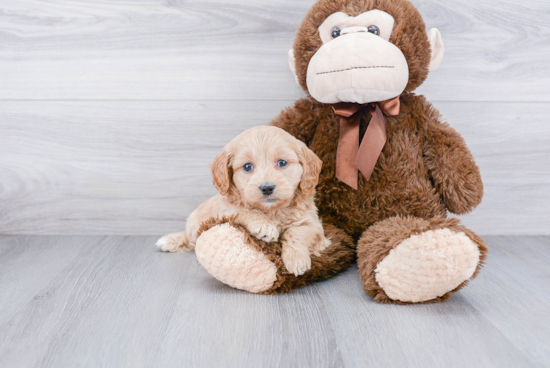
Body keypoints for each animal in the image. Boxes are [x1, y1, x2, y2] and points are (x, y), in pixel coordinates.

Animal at [157, 125, 334, 274]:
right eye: (247, 167)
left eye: (282, 162)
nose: (267, 188)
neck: (272, 211)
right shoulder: (226, 211)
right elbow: (246, 211)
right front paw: (264, 226)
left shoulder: (313, 225)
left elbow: (297, 232)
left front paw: (297, 259)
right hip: (195, 223)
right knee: (190, 238)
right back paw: (169, 240)